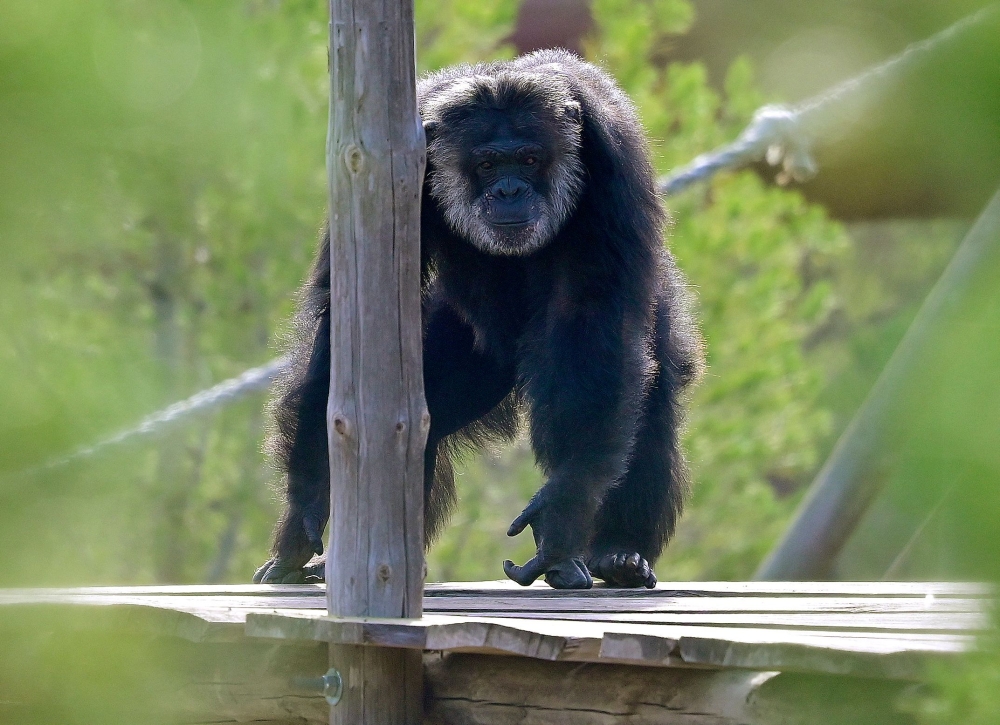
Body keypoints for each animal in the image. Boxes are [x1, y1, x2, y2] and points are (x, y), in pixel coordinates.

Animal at [254, 49, 702, 589]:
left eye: (529, 159)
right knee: (418, 416)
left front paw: (561, 512)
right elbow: (339, 311)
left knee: (650, 399)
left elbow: (593, 318)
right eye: (487, 164)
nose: (509, 190)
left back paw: (620, 553)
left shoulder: (613, 157)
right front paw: (307, 499)